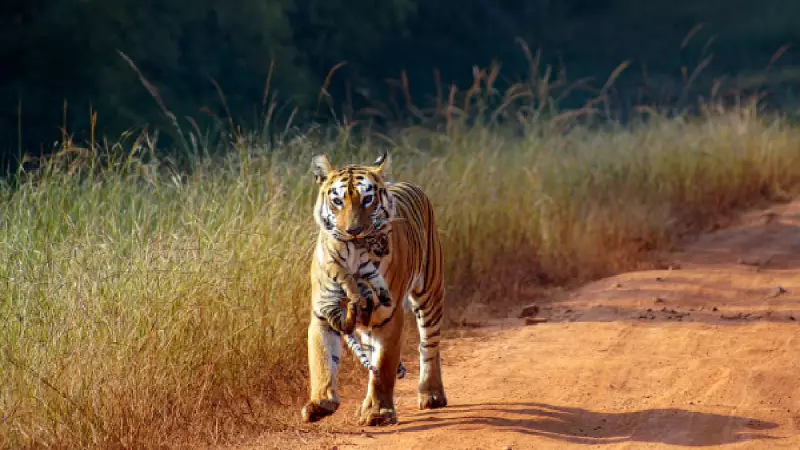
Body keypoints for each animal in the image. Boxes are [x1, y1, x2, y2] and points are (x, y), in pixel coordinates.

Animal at [302, 151, 447, 426]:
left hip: (429, 292)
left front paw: (379, 412)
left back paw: (431, 394)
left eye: (368, 199)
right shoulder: (322, 313)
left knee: (428, 345)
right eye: (337, 201)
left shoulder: (389, 315)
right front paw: (320, 403)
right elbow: (322, 360)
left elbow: (384, 366)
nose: (353, 231)